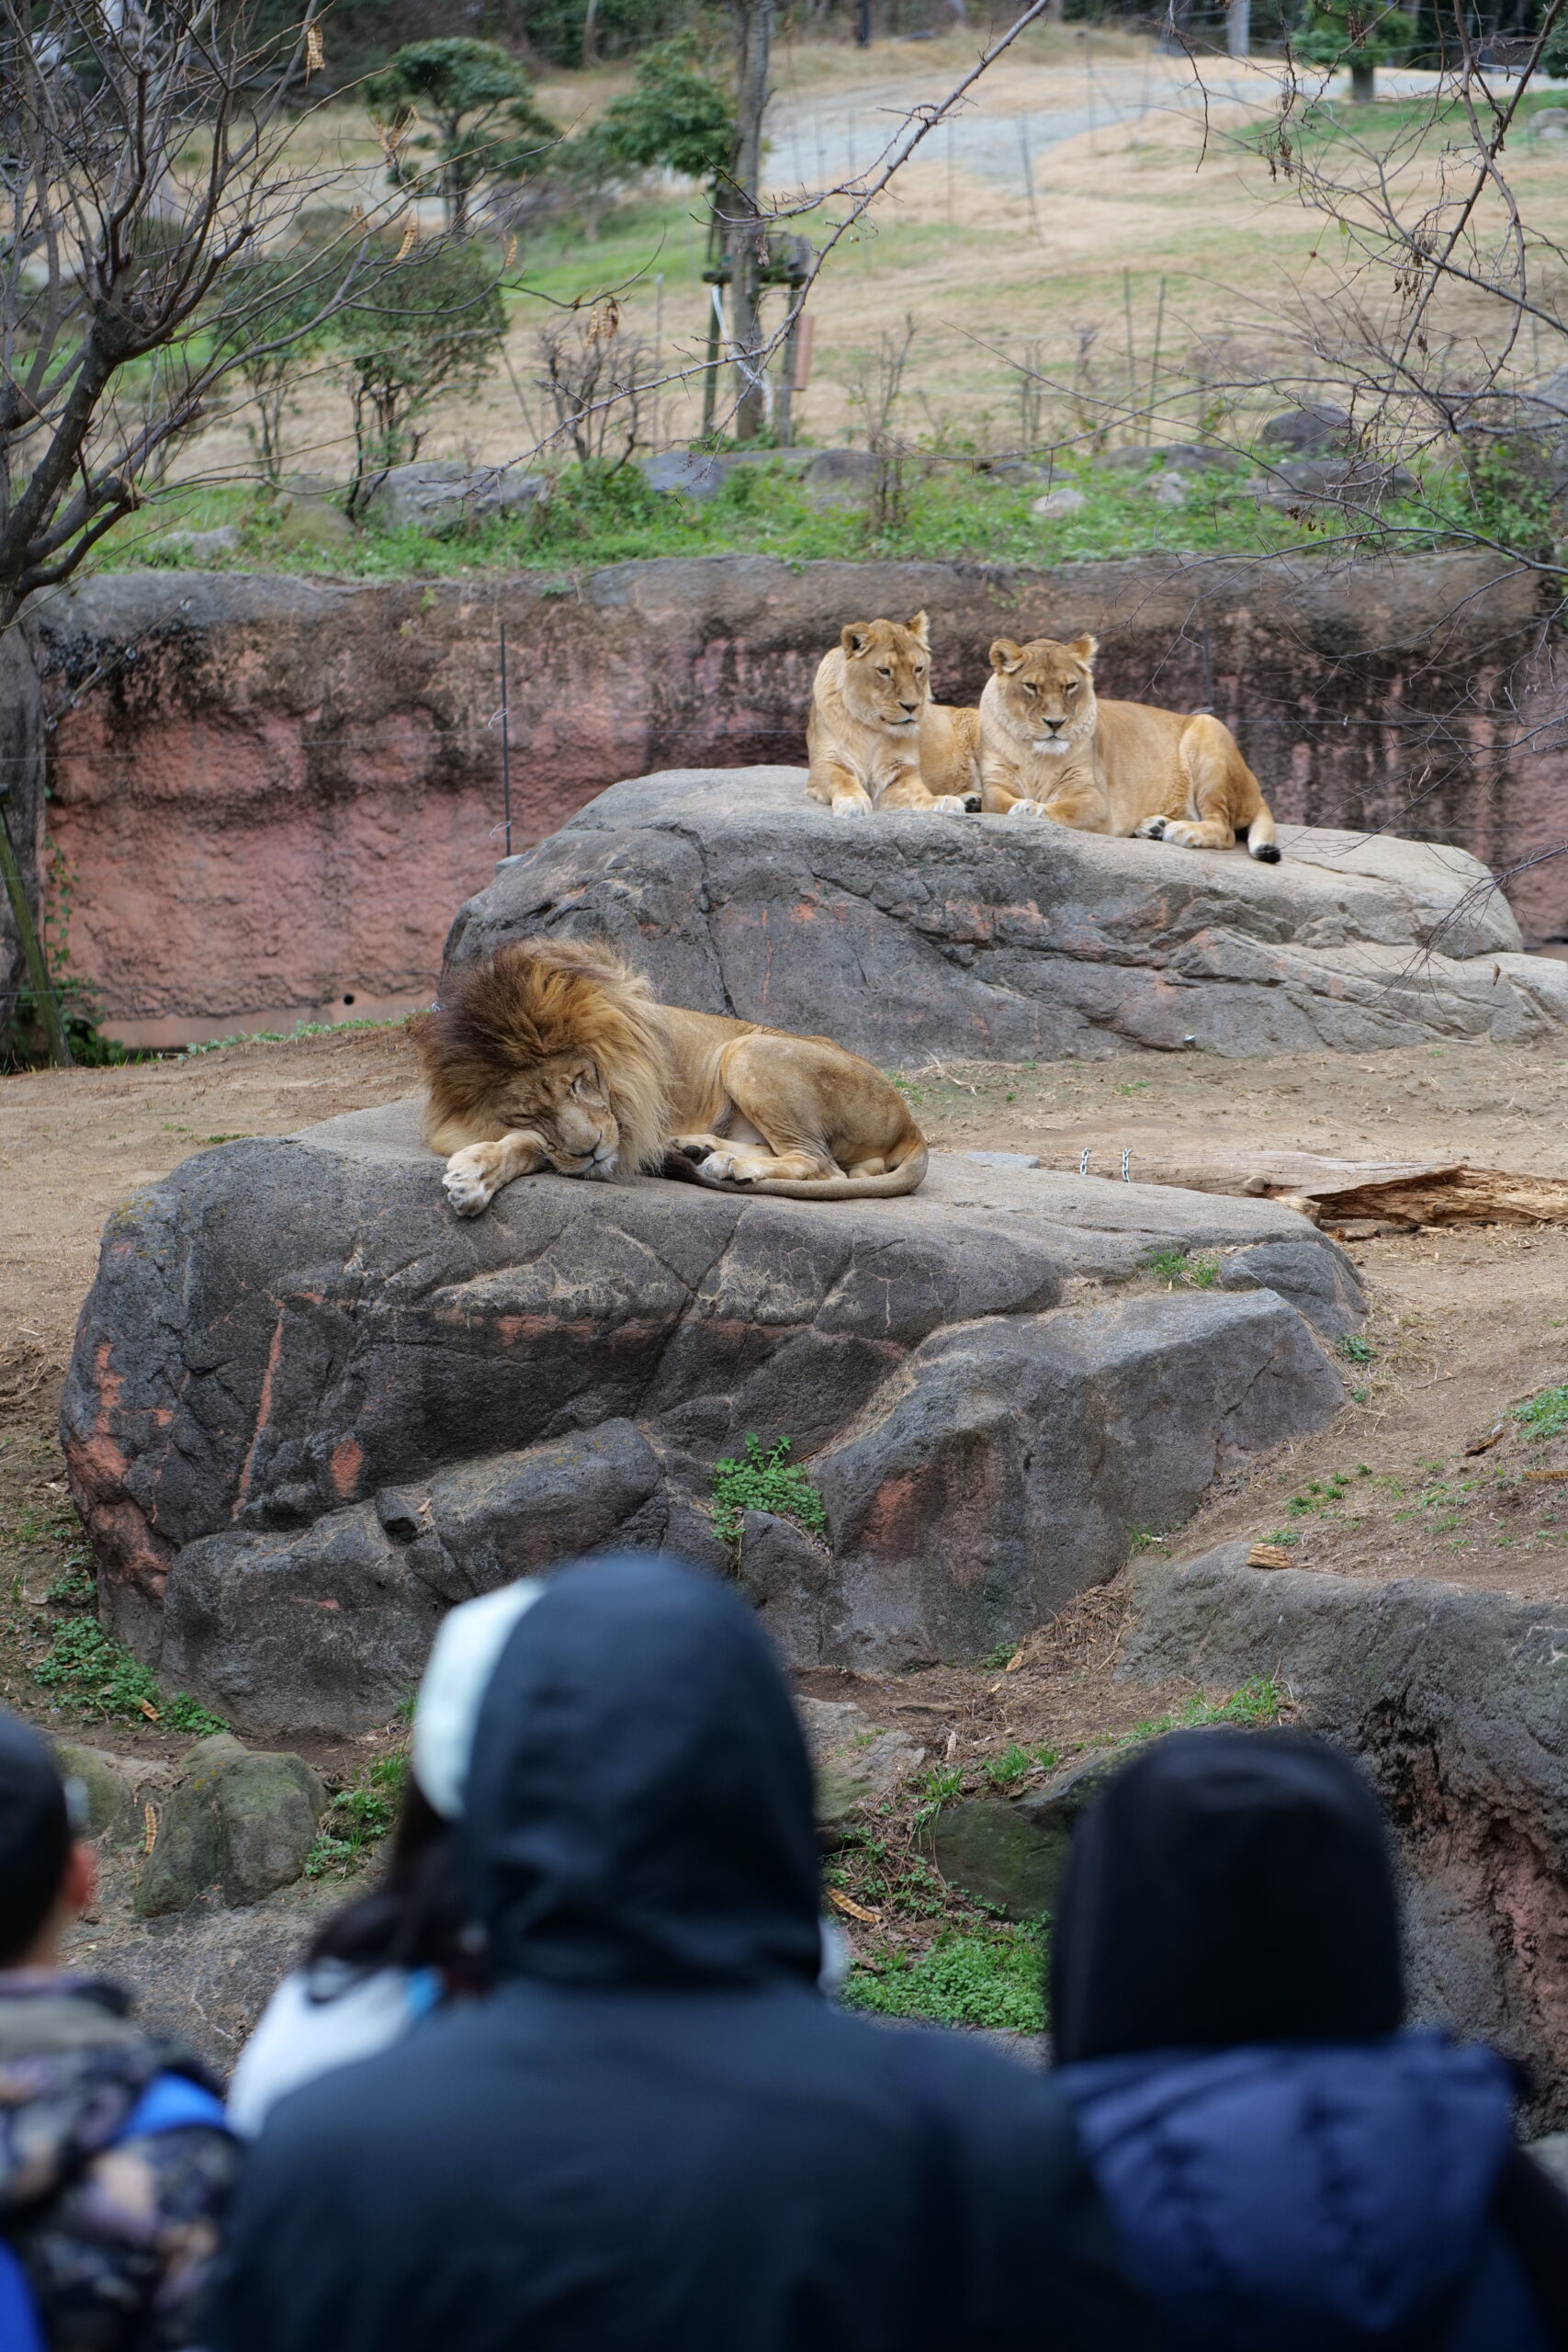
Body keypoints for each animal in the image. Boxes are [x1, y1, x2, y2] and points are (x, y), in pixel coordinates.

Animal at [415, 935, 931, 1223]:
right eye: (528, 1111)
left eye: (579, 1082)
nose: (591, 1151)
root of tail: (912, 1127)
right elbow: (531, 1142)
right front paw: (477, 1174)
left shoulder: (623, 1127)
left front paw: (471, 1175)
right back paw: (700, 1149)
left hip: (748, 1050)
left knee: (821, 1164)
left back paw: (730, 1166)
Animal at [808, 616, 982, 818]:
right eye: (884, 671)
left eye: (918, 669)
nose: (911, 706)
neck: (871, 729)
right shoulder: (824, 765)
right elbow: (842, 780)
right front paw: (852, 802)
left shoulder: (901, 772)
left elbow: (919, 794)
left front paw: (941, 802)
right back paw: (971, 800)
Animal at [987, 635, 1279, 865]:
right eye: (1031, 686)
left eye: (1070, 686)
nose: (1056, 723)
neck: (1036, 754)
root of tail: (1255, 788)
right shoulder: (993, 784)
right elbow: (999, 802)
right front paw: (1022, 806)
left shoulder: (1095, 802)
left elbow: (1061, 808)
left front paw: (1030, 808)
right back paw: (1154, 827)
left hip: (1209, 733)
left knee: (1224, 829)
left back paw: (1181, 831)